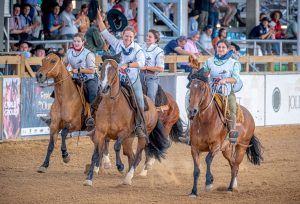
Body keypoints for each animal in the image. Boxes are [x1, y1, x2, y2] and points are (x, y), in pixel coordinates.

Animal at [83, 56, 170, 186]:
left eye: (115, 69)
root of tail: (153, 106)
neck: (112, 105)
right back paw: (128, 176)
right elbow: (95, 154)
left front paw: (120, 166)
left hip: (142, 136)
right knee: (131, 155)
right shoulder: (100, 133)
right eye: (101, 68)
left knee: (137, 156)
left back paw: (129, 177)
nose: (104, 88)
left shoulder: (124, 132)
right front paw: (89, 178)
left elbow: (116, 146)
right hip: (129, 140)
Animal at [188, 69, 262, 197]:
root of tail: (250, 116)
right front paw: (193, 191)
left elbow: (208, 159)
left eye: (202, 88)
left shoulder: (216, 145)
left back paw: (231, 188)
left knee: (236, 165)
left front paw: (209, 182)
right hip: (226, 150)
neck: (206, 120)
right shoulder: (194, 148)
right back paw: (232, 185)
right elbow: (196, 170)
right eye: (191, 87)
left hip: (241, 147)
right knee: (232, 164)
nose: (192, 110)